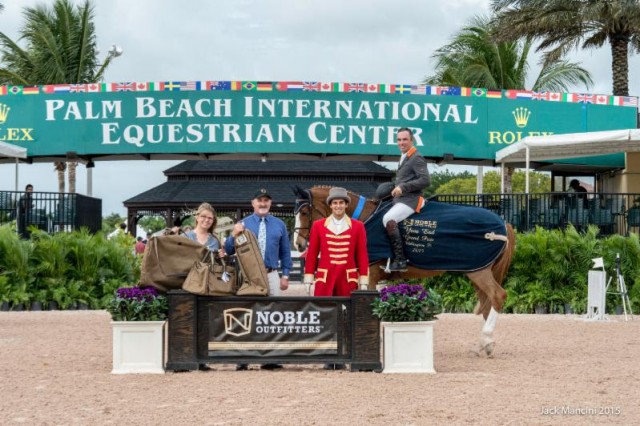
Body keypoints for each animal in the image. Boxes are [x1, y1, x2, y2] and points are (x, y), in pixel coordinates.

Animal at [292, 186, 516, 356]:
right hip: (476, 271)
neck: (364, 219)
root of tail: (502, 222)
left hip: (479, 272)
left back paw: (485, 339)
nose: (298, 244)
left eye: (304, 213)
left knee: (498, 296)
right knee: (488, 303)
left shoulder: (370, 275)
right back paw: (484, 345)